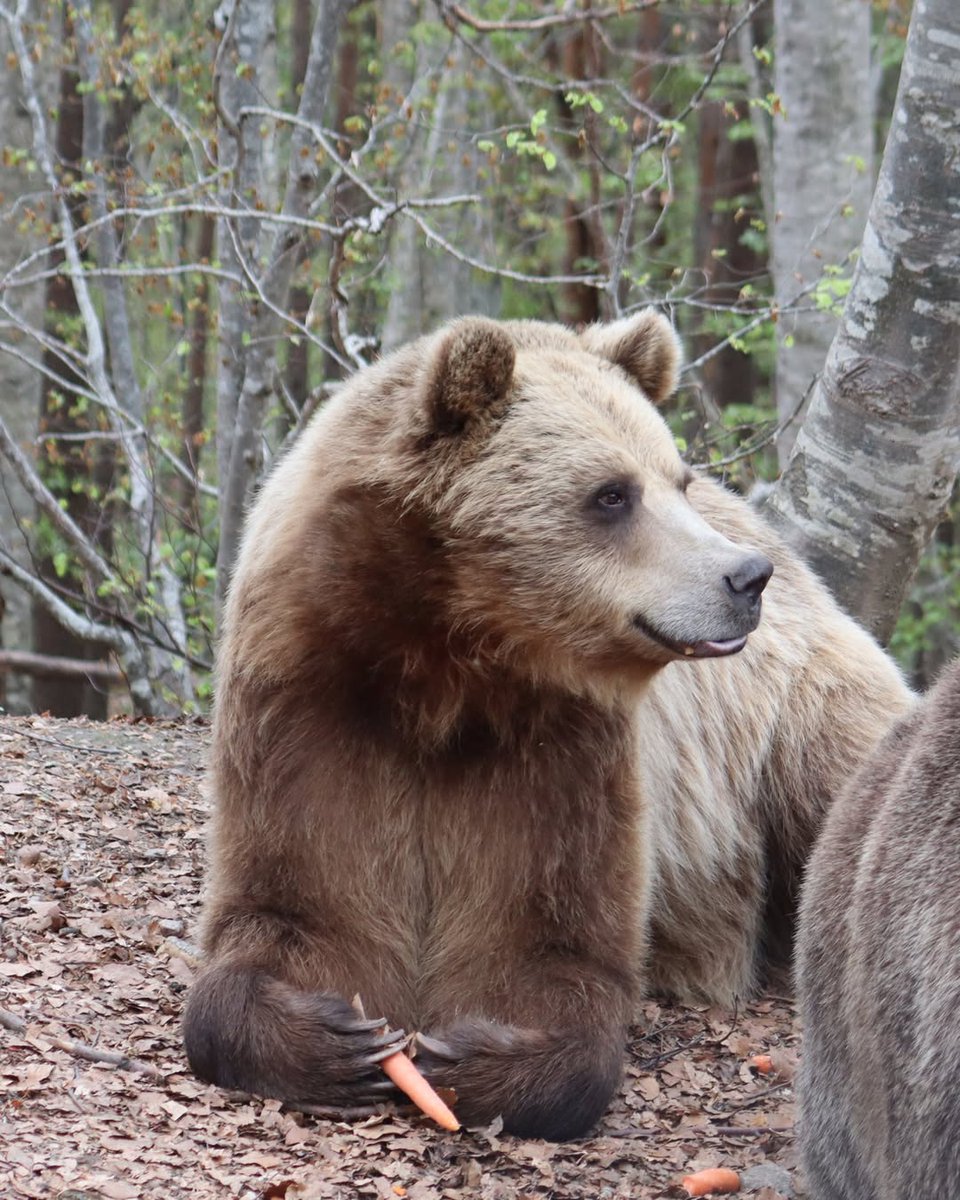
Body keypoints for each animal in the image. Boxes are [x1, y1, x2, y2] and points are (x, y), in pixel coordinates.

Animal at [183, 310, 912, 1140]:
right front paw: (341, 1040)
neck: (446, 663)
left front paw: (471, 1057)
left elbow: (553, 941)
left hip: (798, 719)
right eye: (612, 493)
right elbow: (293, 905)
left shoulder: (564, 746)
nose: (745, 577)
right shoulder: (311, 700)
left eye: (676, 478)